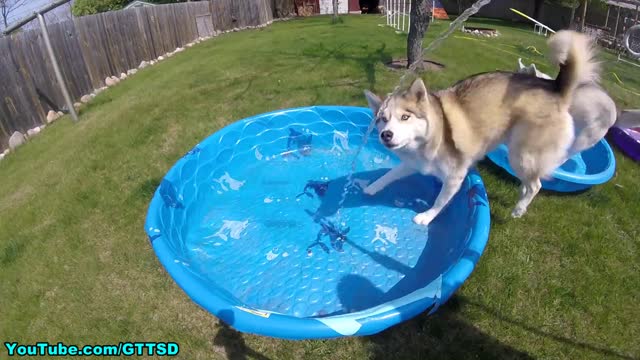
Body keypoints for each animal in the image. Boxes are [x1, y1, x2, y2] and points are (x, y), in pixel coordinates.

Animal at [364, 31, 604, 225]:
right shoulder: (415, 164)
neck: (431, 137)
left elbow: (440, 200)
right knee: (529, 183)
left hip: (522, 155)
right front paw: (372, 186)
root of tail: (555, 89)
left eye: (405, 117)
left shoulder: (455, 177)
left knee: (536, 185)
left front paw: (427, 216)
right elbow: (390, 174)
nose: (386, 135)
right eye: (382, 119)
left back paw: (519, 208)